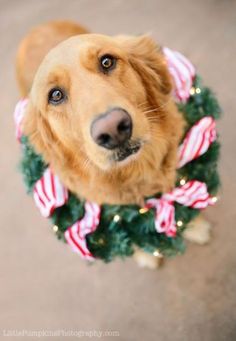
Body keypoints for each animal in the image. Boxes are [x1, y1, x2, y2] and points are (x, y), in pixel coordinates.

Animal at [16, 20, 210, 268]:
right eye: (55, 95)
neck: (136, 173)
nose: (113, 130)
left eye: (107, 61)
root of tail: (37, 28)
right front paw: (146, 255)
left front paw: (194, 226)